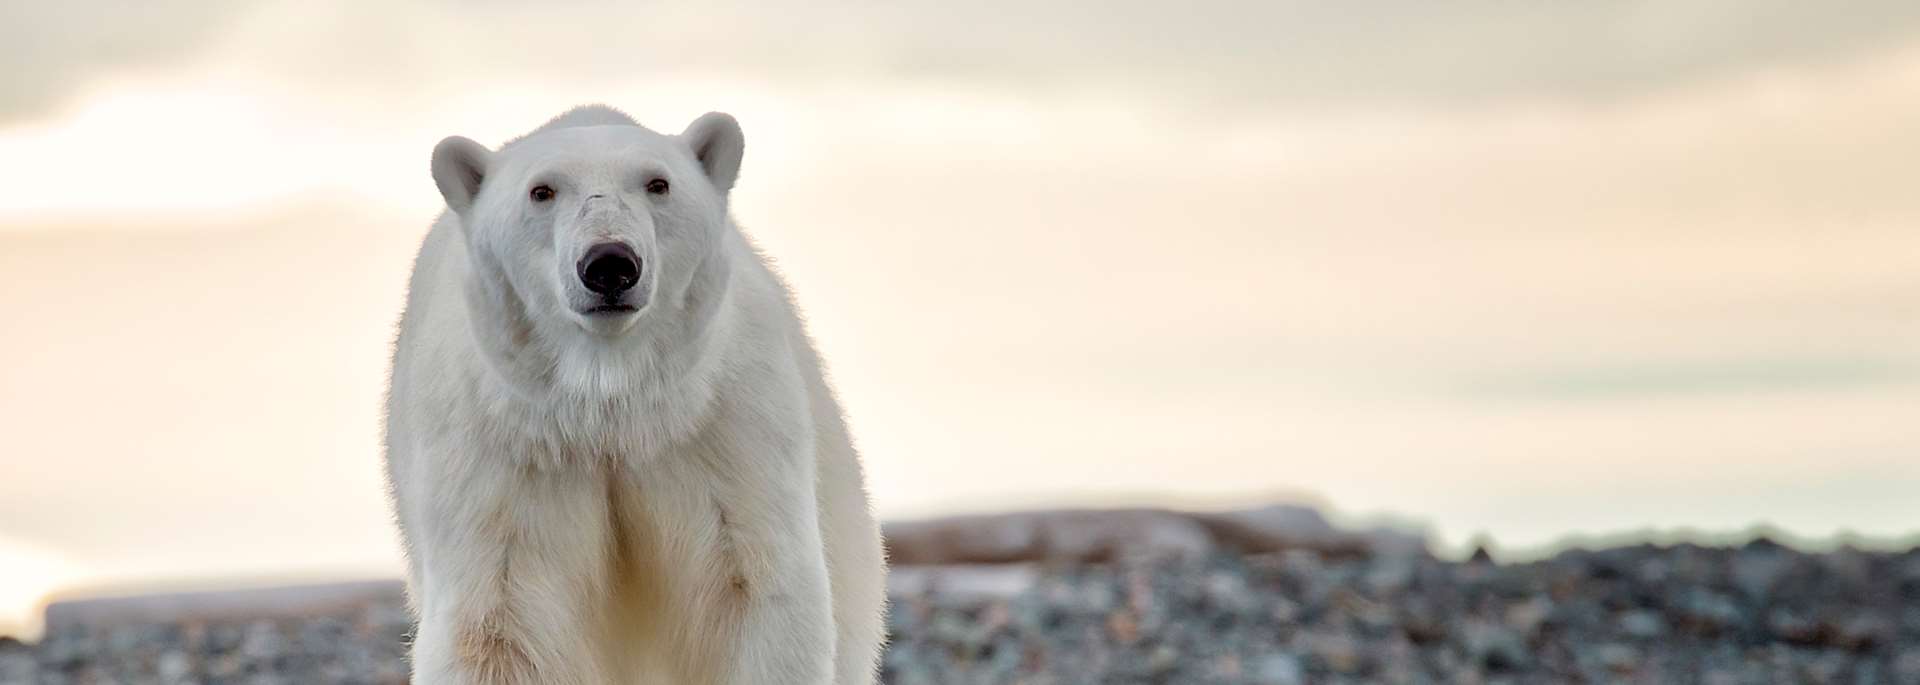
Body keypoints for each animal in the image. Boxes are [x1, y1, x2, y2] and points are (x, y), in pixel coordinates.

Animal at [383, 105, 887, 684]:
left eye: (657, 183)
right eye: (541, 191)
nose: (609, 263)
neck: (611, 403)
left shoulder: (723, 424)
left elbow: (753, 589)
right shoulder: (499, 452)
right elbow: (500, 622)